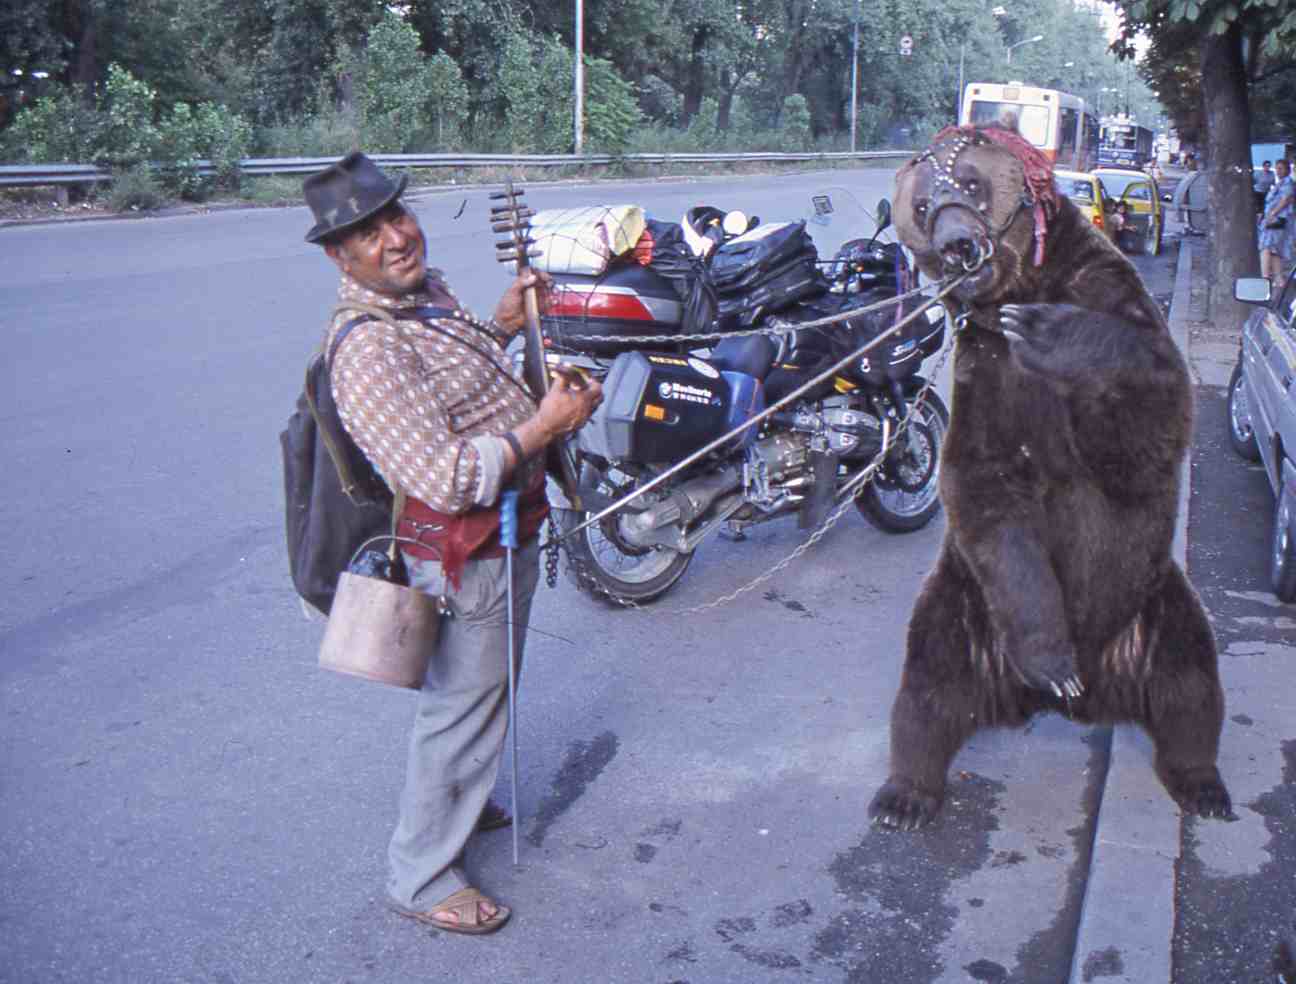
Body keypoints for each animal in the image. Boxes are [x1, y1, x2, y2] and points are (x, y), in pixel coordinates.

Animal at [870, 123, 1233, 829]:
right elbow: (984, 486)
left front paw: (1047, 330)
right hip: (965, 606)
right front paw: (1052, 658)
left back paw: (1203, 785)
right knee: (927, 686)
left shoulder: (1107, 292)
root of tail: (1087, 700)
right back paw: (904, 794)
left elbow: (1152, 416)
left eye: (973, 182)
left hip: (1156, 602)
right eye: (922, 206)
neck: (1020, 284)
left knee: (1190, 686)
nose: (959, 245)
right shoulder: (984, 376)